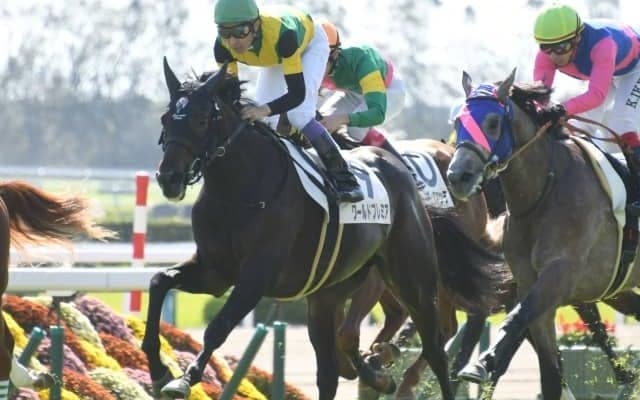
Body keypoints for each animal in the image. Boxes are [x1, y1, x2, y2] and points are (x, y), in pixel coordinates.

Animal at [142, 58, 507, 400]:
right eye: (165, 119)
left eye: (202, 120)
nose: (169, 178)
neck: (240, 191)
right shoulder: (216, 272)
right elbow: (159, 281)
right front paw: (158, 368)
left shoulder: (256, 276)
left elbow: (218, 327)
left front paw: (183, 379)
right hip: (327, 296)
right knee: (331, 370)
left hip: (412, 280)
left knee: (436, 345)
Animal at [446, 68, 640, 399]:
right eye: (458, 122)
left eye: (493, 122)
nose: (458, 176)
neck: (542, 192)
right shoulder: (530, 284)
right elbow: (550, 371)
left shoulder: (557, 275)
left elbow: (516, 318)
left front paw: (483, 363)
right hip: (619, 290)